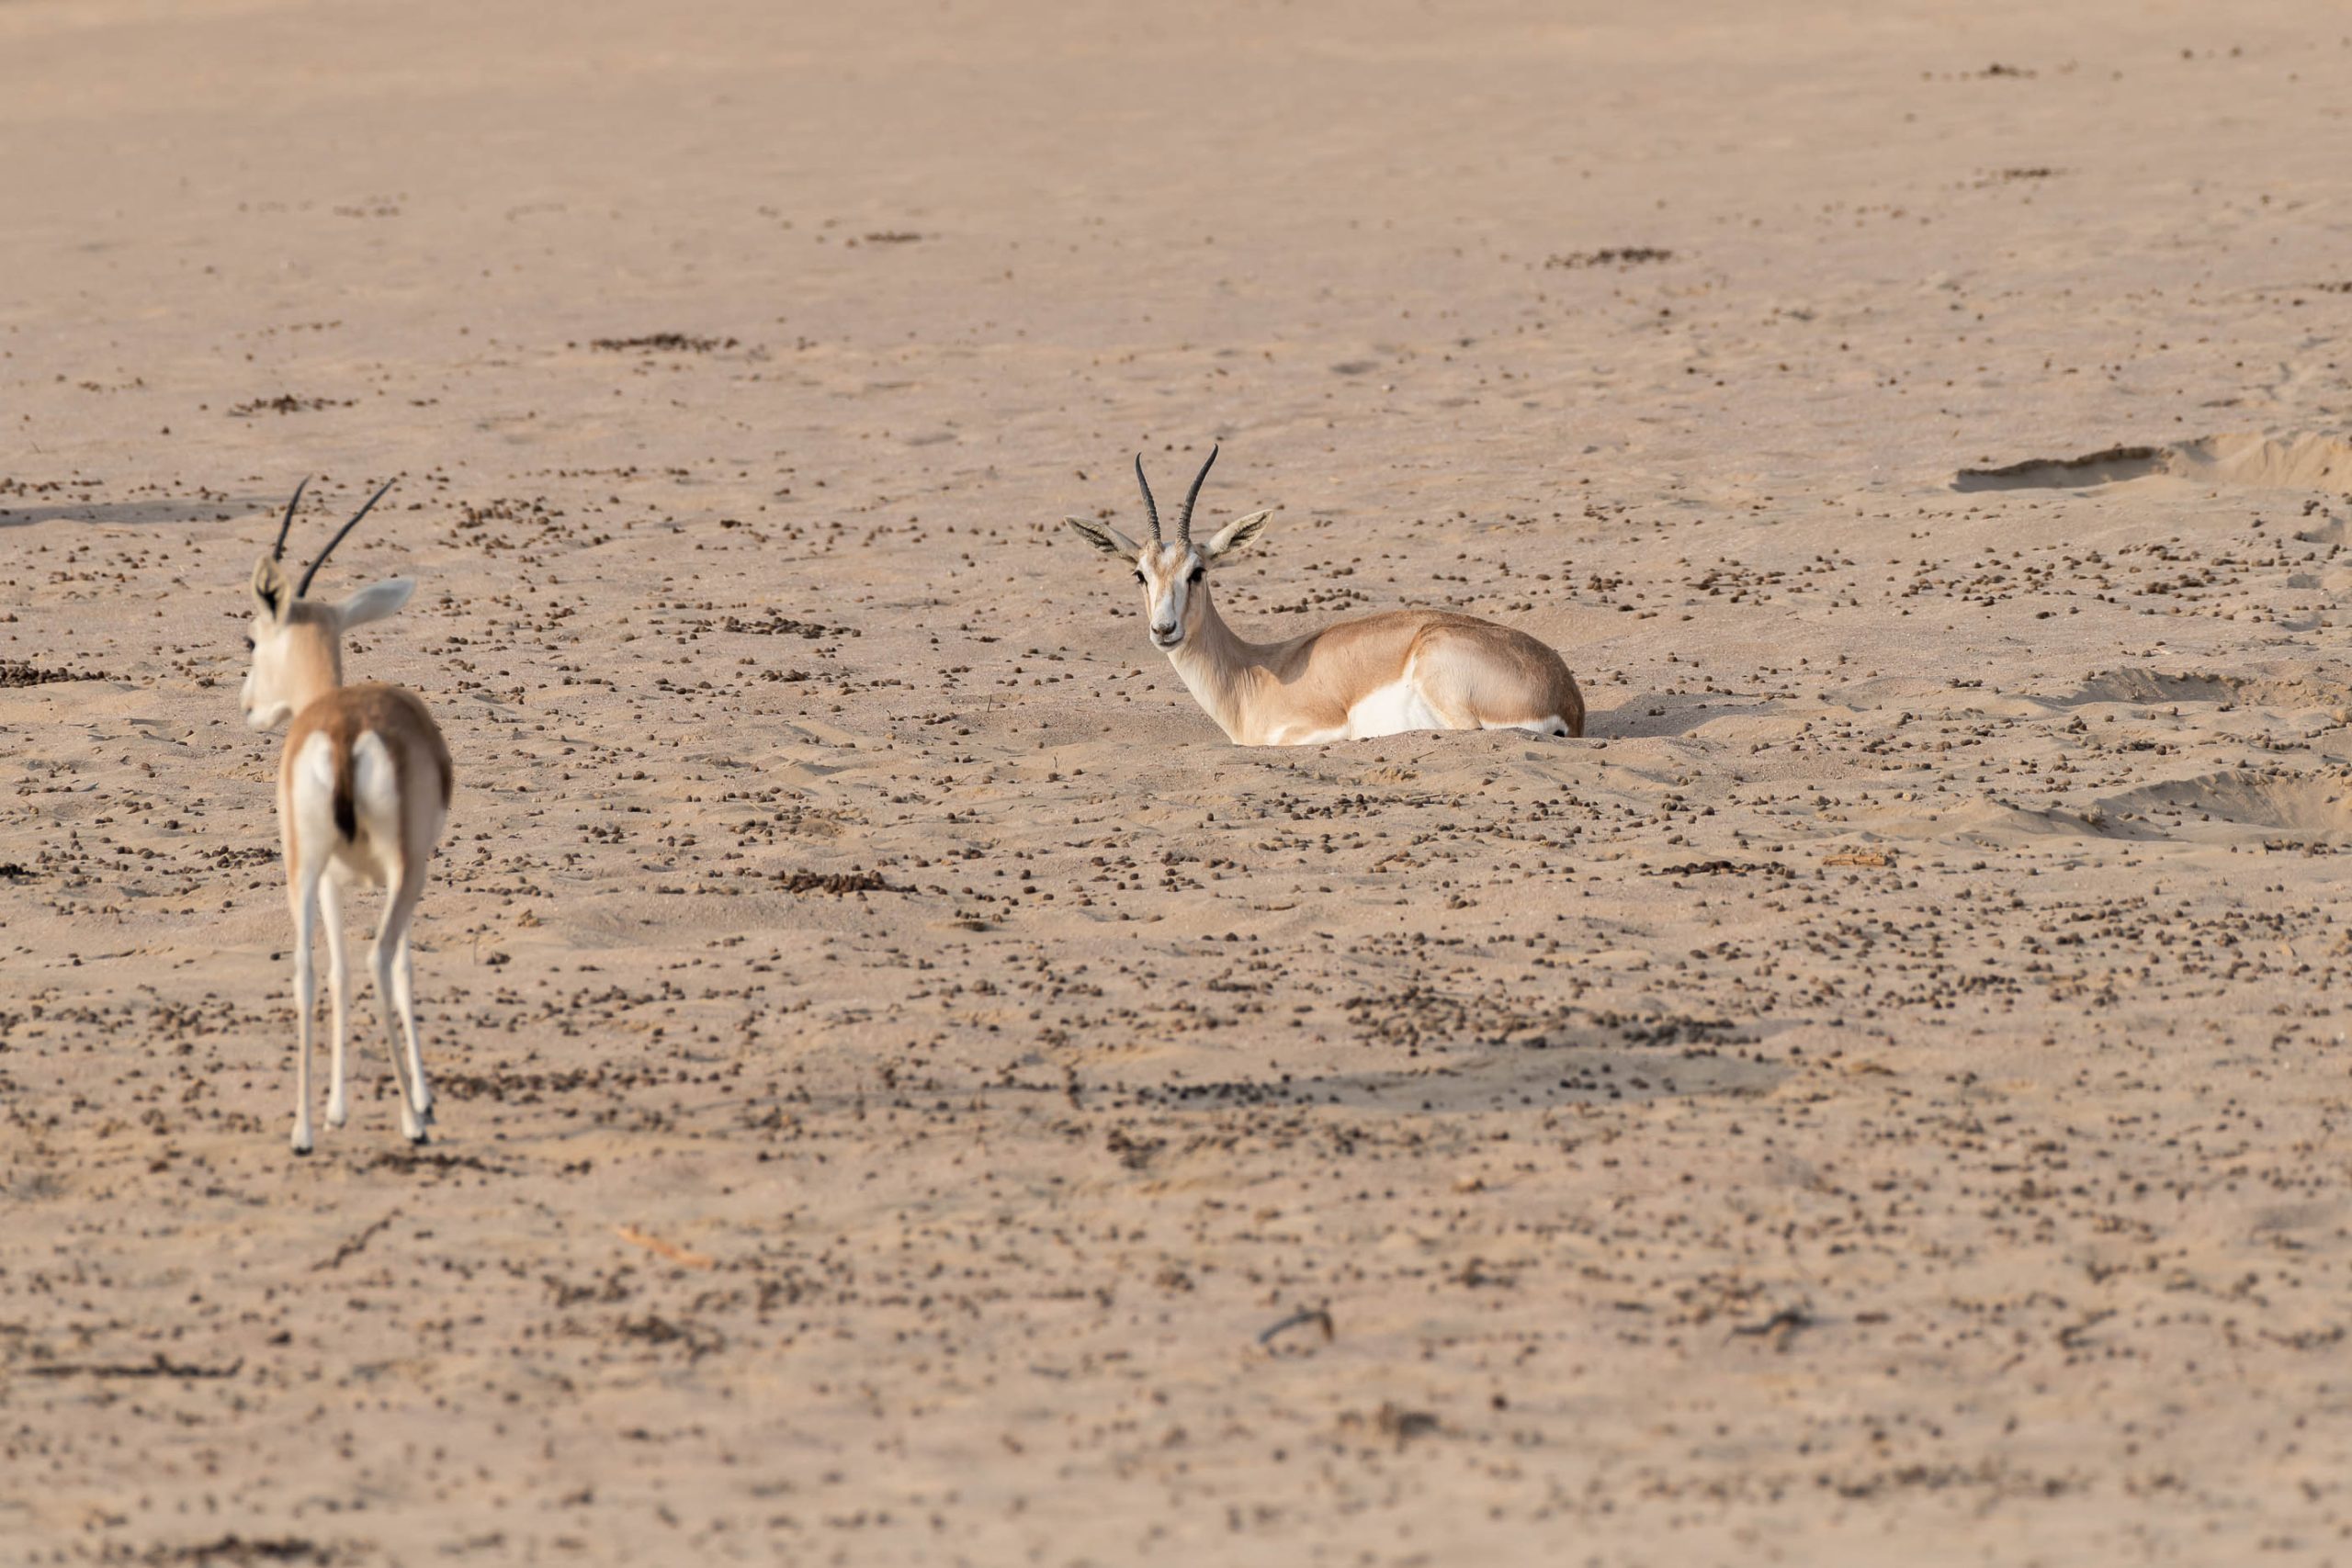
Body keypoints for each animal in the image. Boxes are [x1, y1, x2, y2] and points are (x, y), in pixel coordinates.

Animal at [240, 477, 452, 1153]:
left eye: (252, 639)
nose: (248, 703)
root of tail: (342, 729)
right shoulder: (409, 870)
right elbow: (405, 967)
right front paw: (422, 1100)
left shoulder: (331, 879)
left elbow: (333, 972)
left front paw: (335, 1109)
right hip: (403, 869)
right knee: (381, 959)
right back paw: (413, 1123)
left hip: (303, 869)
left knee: (308, 971)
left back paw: (304, 1132)